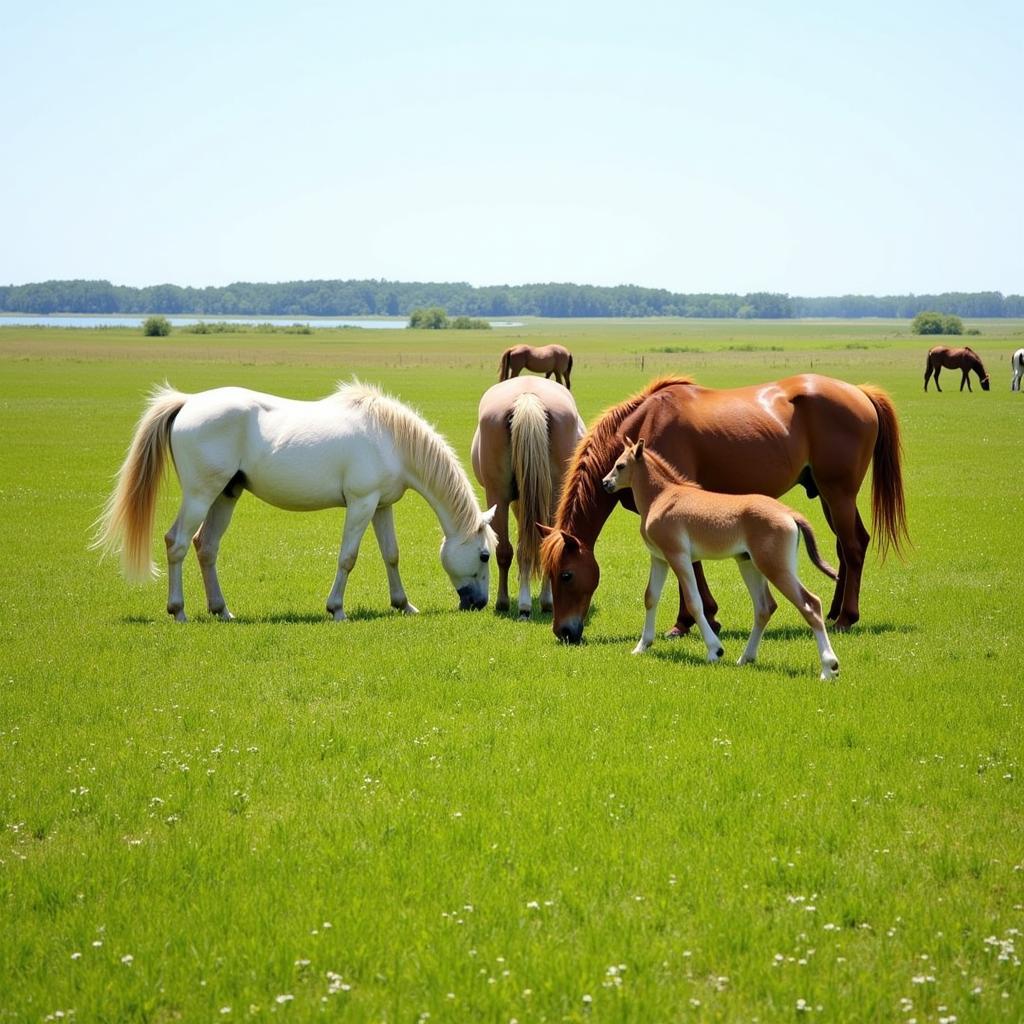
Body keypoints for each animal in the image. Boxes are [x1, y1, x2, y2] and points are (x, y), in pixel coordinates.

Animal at [92, 380, 495, 618]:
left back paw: (222, 610)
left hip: (225, 495)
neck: (391, 439)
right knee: (175, 543)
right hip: (200, 495)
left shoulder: (381, 505)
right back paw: (178, 610)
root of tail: (188, 403)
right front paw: (336, 610)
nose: (478, 604)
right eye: (484, 555)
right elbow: (348, 557)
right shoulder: (361, 503)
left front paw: (403, 605)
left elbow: (391, 555)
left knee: (205, 546)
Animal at [540, 372, 909, 643]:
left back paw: (846, 617)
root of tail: (858, 392)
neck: (645, 424)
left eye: (566, 575)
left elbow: (691, 566)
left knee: (853, 546)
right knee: (848, 546)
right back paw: (834, 611)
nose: (563, 632)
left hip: (838, 493)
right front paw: (701, 618)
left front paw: (690, 621)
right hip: (827, 494)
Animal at [598, 438, 839, 679]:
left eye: (620, 465)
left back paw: (829, 668)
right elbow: (650, 597)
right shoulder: (659, 559)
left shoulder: (678, 556)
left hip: (775, 568)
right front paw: (642, 646)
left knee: (810, 604)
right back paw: (745, 658)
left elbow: (694, 602)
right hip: (749, 565)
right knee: (764, 608)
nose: (605, 483)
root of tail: (789, 513)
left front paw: (715, 650)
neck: (661, 496)